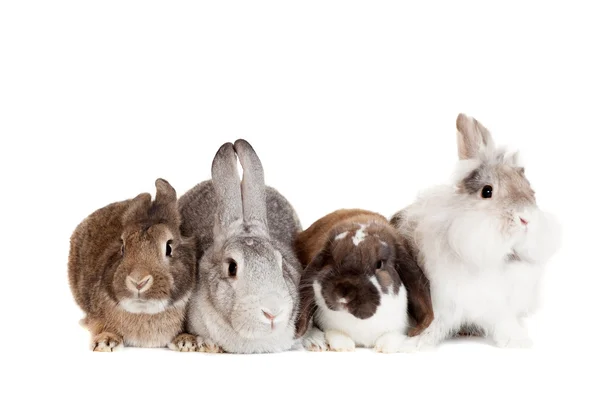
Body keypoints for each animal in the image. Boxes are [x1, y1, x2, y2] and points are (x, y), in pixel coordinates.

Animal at [294, 209, 432, 354]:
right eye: (331, 260)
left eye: (379, 264)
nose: (343, 293)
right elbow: (334, 333)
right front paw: (344, 346)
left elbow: (394, 335)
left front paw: (384, 347)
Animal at [392, 114, 560, 348]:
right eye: (487, 191)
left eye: (530, 191)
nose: (526, 219)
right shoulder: (442, 302)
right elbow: (433, 324)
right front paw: (412, 344)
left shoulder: (499, 307)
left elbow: (505, 322)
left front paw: (518, 340)